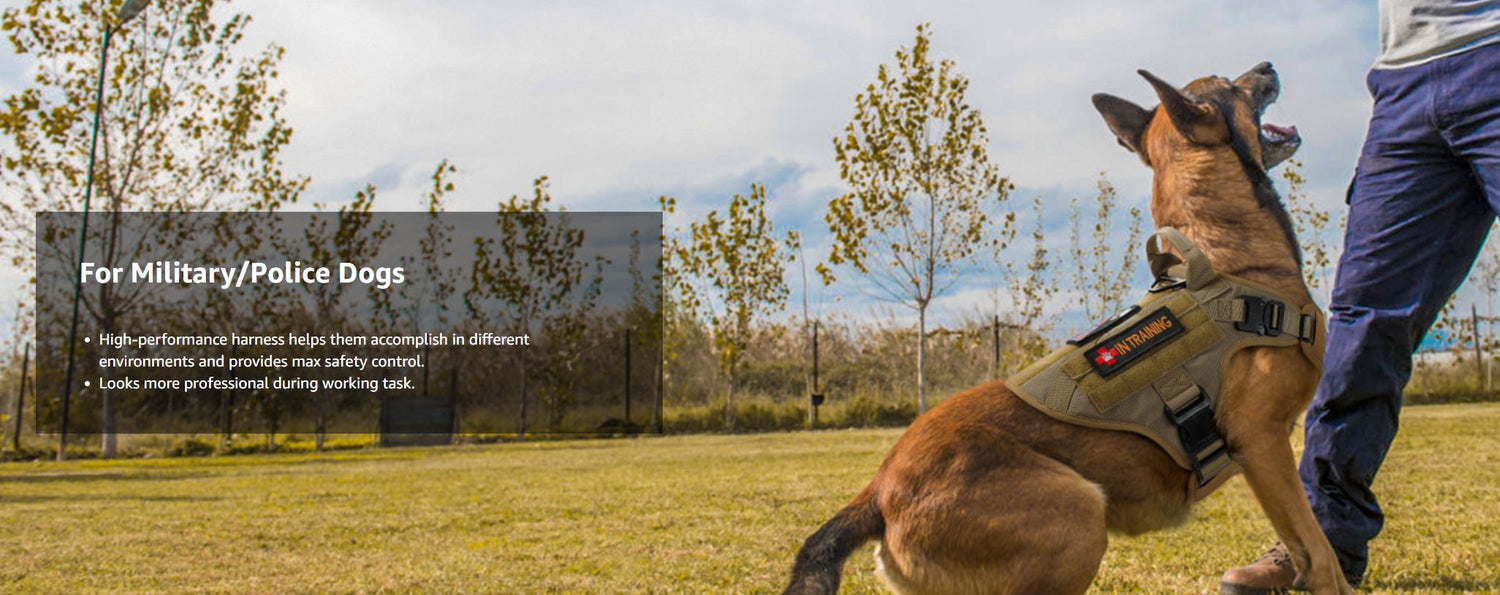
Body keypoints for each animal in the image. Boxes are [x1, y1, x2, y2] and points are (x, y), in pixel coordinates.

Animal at [780, 62, 1356, 590]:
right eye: (1230, 82)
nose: (1267, 66)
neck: (1225, 261)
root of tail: (878, 490)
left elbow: (1309, 551)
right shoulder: (1263, 445)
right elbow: (1321, 552)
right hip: (1079, 515)